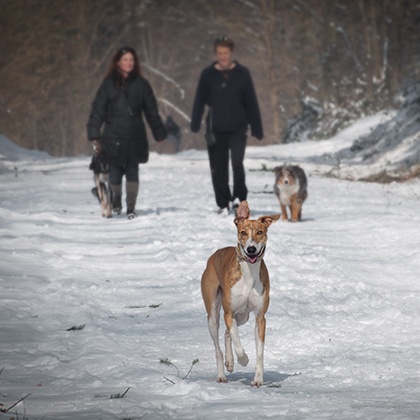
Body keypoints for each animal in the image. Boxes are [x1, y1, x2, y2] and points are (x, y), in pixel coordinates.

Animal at [200, 200, 278, 388]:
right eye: (243, 232)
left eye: (259, 232)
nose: (251, 249)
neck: (249, 272)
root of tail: (214, 255)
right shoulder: (228, 313)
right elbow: (237, 341)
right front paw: (243, 359)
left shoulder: (259, 317)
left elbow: (259, 352)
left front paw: (258, 379)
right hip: (213, 314)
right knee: (218, 346)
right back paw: (222, 373)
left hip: (243, 316)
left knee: (226, 333)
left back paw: (229, 362)